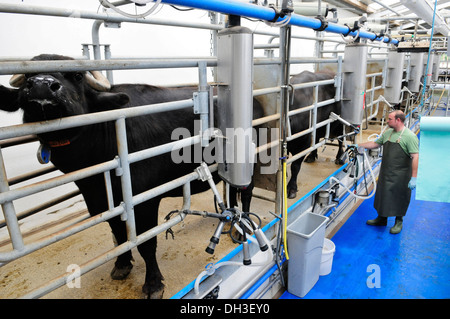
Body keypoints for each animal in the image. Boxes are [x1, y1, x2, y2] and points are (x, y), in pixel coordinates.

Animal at [0, 54, 264, 300]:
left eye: (76, 76)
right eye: (28, 77)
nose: (42, 85)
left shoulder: (145, 201)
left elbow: (146, 243)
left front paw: (153, 284)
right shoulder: (101, 200)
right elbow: (118, 234)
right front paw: (122, 264)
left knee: (246, 192)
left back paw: (243, 227)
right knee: (232, 191)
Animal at [286, 71, 342, 199]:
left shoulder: (304, 144)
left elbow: (295, 166)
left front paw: (291, 188)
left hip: (340, 123)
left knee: (342, 140)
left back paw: (339, 157)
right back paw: (312, 156)